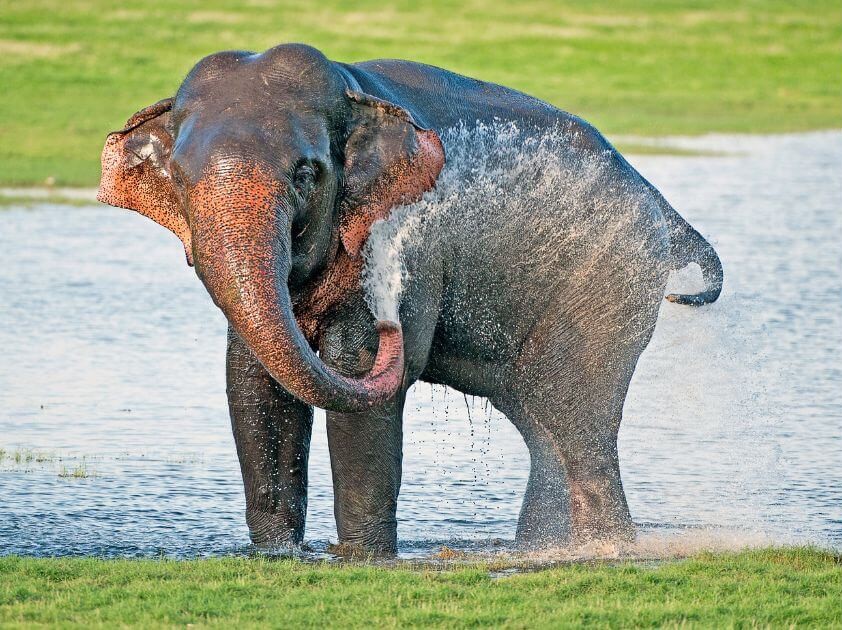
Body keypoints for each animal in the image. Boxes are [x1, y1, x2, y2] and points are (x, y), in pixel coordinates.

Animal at [97, 43, 723, 555]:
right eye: (179, 177)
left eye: (306, 173)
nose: (395, 325)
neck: (353, 87)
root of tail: (662, 207)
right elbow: (252, 384)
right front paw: (275, 555)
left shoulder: (406, 240)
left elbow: (355, 371)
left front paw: (363, 559)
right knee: (543, 426)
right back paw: (540, 549)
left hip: (607, 290)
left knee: (577, 419)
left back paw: (600, 551)